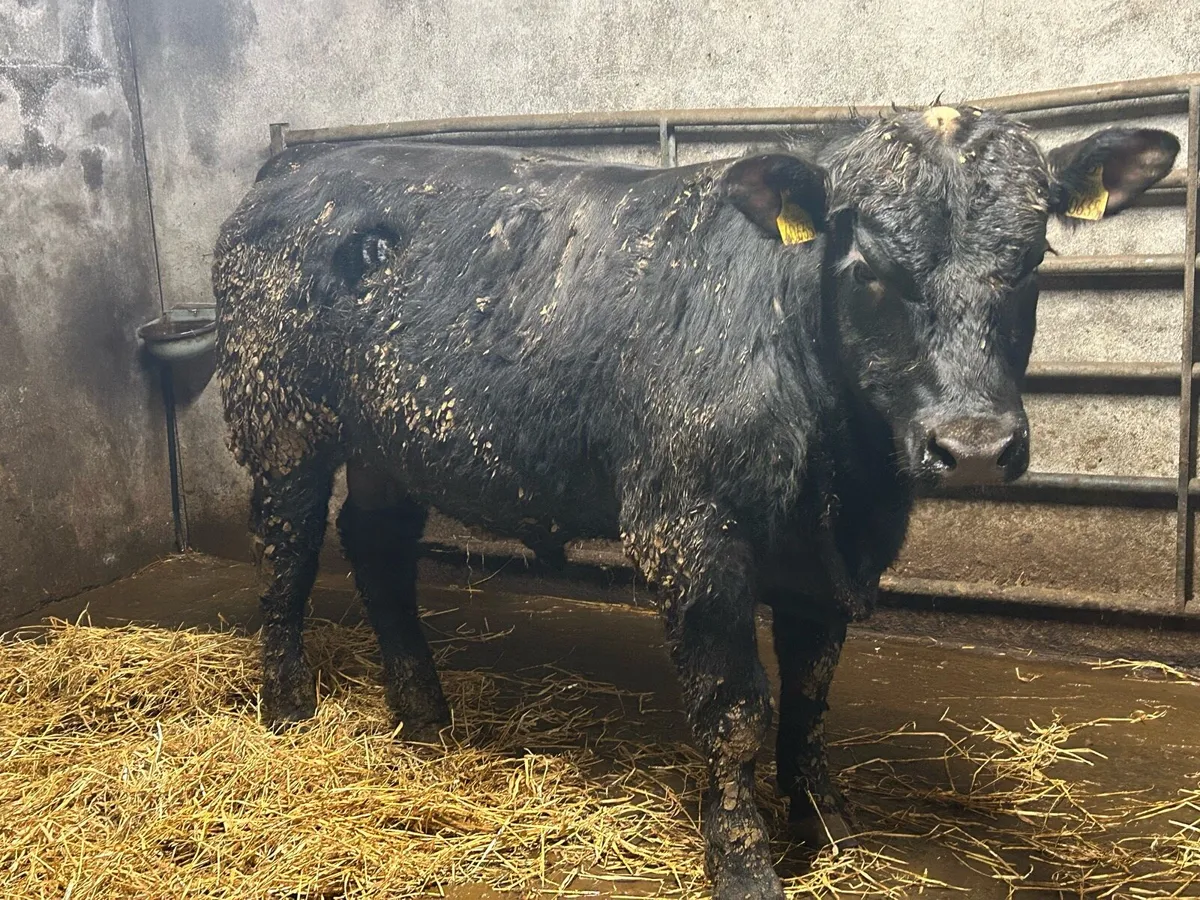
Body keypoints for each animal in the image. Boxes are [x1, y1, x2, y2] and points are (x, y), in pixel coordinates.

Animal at [212, 106, 1177, 899]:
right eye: (866, 268)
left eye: (1032, 260)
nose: (974, 445)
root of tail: (287, 176)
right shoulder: (690, 533)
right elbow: (736, 709)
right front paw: (745, 861)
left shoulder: (829, 556)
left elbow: (810, 697)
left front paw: (827, 824)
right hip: (281, 417)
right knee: (285, 552)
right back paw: (288, 706)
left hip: (389, 438)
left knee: (375, 547)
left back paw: (424, 717)